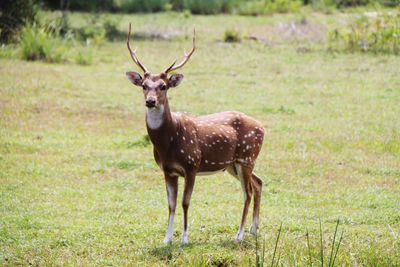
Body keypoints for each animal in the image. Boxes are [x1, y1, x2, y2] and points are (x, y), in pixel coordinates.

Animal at [123, 23, 264, 245]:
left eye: (163, 86)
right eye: (144, 86)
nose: (150, 101)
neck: (167, 144)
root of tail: (263, 127)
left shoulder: (191, 164)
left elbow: (185, 202)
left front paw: (185, 238)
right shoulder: (168, 170)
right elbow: (171, 204)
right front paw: (167, 239)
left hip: (247, 156)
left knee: (248, 192)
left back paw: (239, 234)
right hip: (232, 164)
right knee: (259, 183)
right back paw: (253, 229)